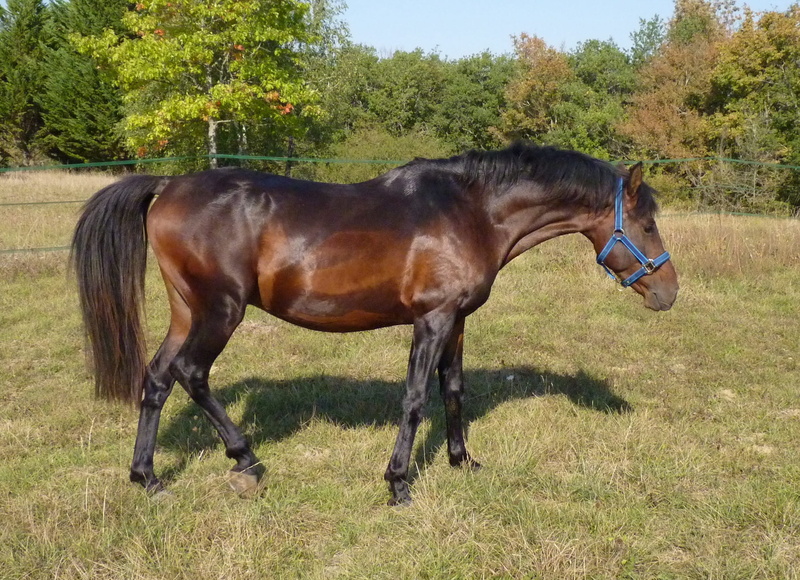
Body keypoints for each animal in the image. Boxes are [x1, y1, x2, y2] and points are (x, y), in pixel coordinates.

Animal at [71, 143, 678, 505]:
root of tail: (169, 185)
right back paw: (244, 460)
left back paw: (147, 477)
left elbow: (454, 390)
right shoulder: (431, 320)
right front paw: (399, 483)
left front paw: (462, 461)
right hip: (221, 311)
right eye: (647, 224)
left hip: (187, 310)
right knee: (191, 374)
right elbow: (414, 398)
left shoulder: (456, 320)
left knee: (156, 378)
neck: (471, 211)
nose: (669, 294)